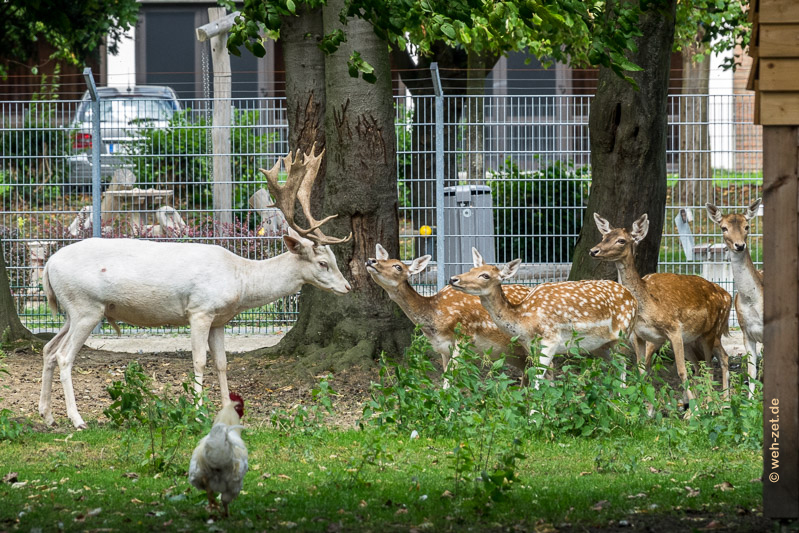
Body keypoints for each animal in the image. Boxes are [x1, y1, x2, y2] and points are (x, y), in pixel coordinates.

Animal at [40, 145, 352, 429]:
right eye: (323, 262)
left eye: (335, 259)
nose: (348, 287)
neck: (240, 279)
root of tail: (48, 265)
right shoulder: (199, 310)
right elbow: (199, 361)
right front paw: (198, 412)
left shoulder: (220, 320)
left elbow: (222, 362)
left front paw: (228, 411)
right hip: (86, 307)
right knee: (64, 356)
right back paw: (77, 420)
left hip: (73, 311)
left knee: (48, 349)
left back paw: (48, 415)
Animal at [365, 244, 532, 384]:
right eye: (383, 259)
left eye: (398, 266)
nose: (371, 260)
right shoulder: (443, 349)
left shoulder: (465, 336)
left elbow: (449, 381)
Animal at [448, 248, 638, 386]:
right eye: (472, 269)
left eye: (485, 275)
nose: (453, 279)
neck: (524, 319)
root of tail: (633, 299)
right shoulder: (530, 345)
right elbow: (541, 377)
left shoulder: (551, 338)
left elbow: (538, 378)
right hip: (601, 346)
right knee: (617, 367)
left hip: (623, 335)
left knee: (624, 367)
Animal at [589, 213, 732, 405]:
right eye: (604, 236)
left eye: (621, 240)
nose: (593, 251)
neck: (647, 307)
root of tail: (728, 295)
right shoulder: (639, 336)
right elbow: (641, 370)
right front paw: (643, 404)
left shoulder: (674, 329)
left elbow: (681, 371)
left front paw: (695, 410)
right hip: (692, 340)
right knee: (702, 364)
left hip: (711, 331)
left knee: (712, 363)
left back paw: (718, 402)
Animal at [706, 198, 763, 396]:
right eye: (723, 227)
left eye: (747, 226)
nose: (739, 245)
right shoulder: (747, 332)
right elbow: (752, 371)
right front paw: (750, 399)